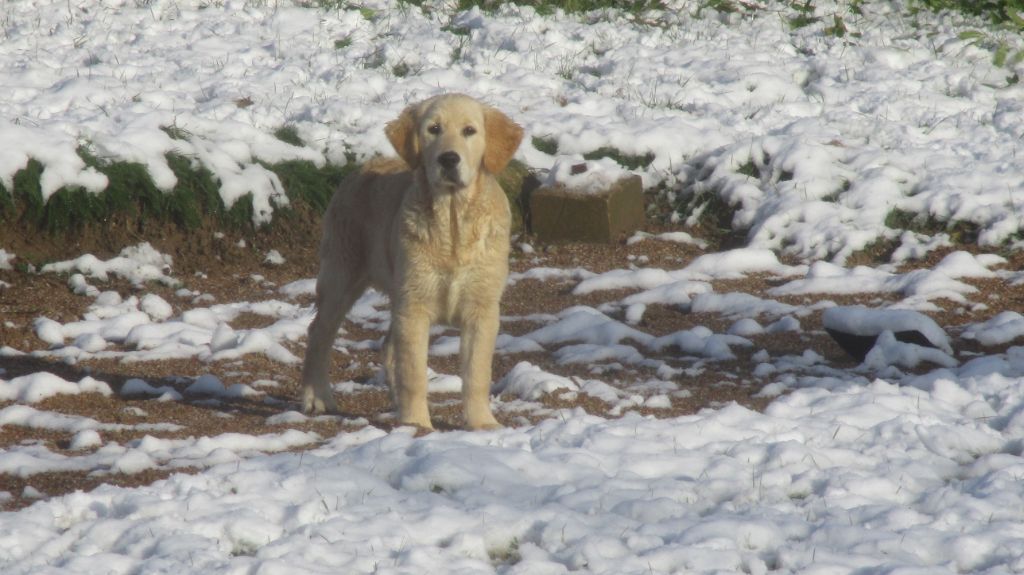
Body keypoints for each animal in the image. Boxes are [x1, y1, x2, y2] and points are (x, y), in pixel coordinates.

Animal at [299, 91, 524, 427]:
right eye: (433, 129)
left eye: (470, 131)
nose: (448, 159)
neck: (452, 222)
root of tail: (360, 168)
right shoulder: (414, 304)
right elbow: (414, 372)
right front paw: (417, 424)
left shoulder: (481, 308)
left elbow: (477, 373)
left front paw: (482, 423)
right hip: (341, 273)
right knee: (319, 334)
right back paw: (317, 398)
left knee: (388, 346)